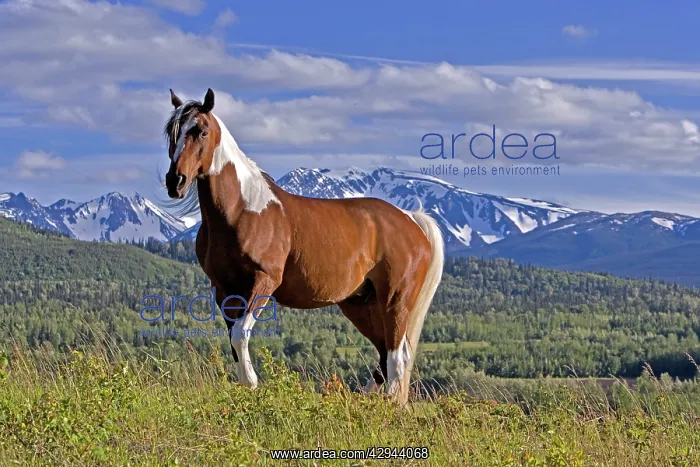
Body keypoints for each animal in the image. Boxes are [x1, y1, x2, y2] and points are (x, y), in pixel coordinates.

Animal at [163, 88, 444, 404]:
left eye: (201, 131)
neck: (242, 211)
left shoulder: (263, 282)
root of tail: (411, 220)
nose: (175, 182)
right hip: (361, 304)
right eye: (172, 133)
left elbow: (240, 335)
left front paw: (253, 385)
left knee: (397, 357)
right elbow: (233, 340)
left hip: (395, 299)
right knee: (384, 356)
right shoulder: (224, 289)